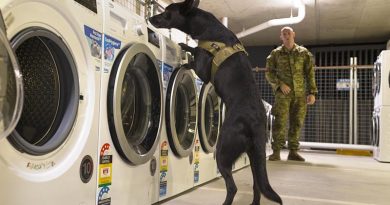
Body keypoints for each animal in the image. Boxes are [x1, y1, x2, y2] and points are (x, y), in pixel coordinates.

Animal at [149, 0, 280, 204]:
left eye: (167, 12)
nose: (150, 19)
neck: (210, 28)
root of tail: (256, 124)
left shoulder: (203, 71)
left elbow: (195, 56)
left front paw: (186, 51)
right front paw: (184, 45)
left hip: (223, 150)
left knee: (232, 187)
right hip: (254, 156)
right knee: (257, 185)